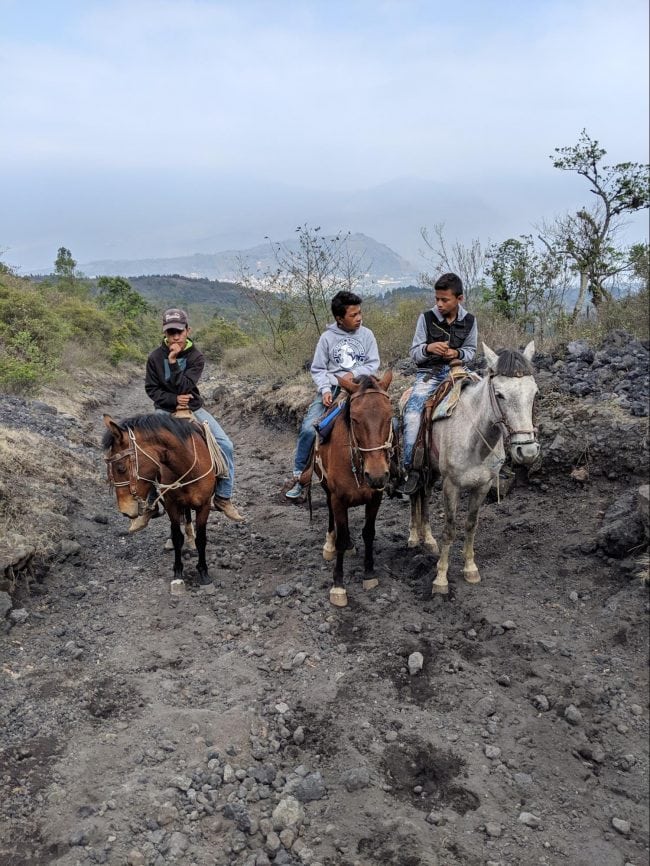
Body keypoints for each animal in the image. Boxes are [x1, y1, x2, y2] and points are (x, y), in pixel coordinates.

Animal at [102, 414, 215, 588]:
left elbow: (202, 539)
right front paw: (178, 571)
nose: (125, 510)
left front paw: (203, 572)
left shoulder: (205, 505)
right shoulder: (171, 505)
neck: (188, 465)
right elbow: (177, 537)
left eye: (121, 468)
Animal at [312, 372, 392, 608]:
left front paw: (369, 573)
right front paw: (338, 585)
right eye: (355, 419)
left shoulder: (375, 498)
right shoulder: (338, 499)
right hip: (327, 489)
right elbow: (341, 536)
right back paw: (329, 545)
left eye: (390, 416)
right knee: (331, 515)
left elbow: (368, 533)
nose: (376, 475)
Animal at [408, 340, 540, 592]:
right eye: (499, 394)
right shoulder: (451, 486)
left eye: (534, 392)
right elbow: (450, 528)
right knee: (414, 494)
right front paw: (441, 578)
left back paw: (427, 539)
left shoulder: (482, 486)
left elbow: (471, 524)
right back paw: (412, 536)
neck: (474, 441)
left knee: (425, 494)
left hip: (431, 470)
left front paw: (470, 568)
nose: (527, 451)